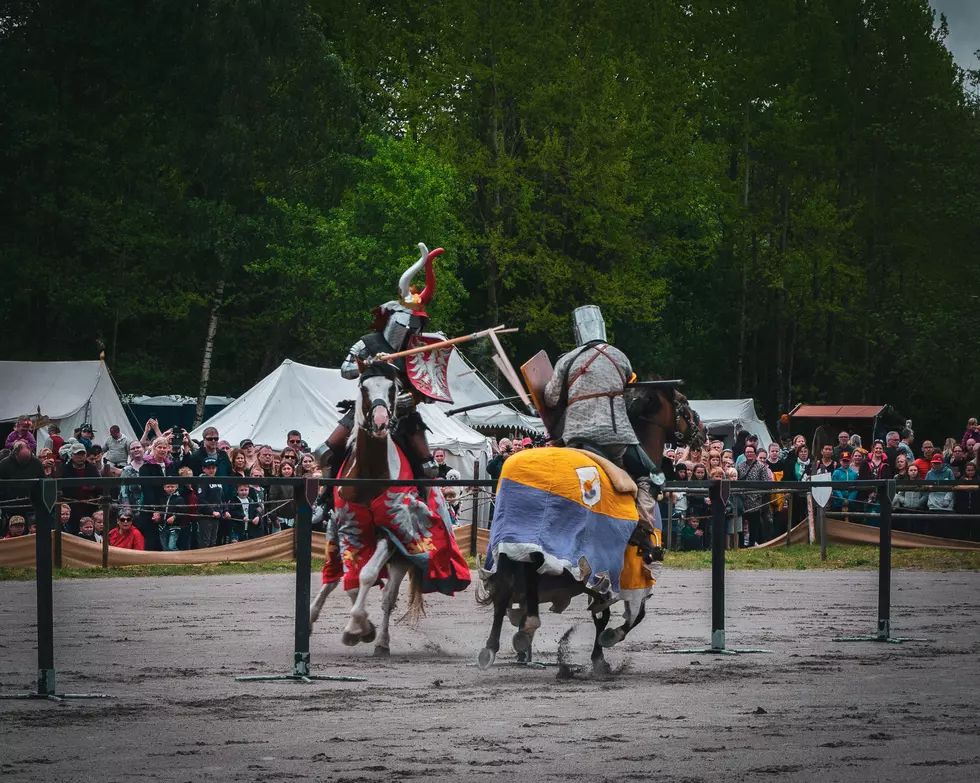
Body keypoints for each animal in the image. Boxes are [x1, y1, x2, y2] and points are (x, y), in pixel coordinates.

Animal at [476, 388, 700, 672]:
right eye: (684, 404)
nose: (702, 434)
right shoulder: (615, 568)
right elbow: (628, 614)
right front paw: (606, 645)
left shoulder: (599, 573)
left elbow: (606, 613)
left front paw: (599, 654)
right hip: (544, 545)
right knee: (529, 577)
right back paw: (527, 627)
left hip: (509, 544)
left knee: (505, 590)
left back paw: (492, 647)